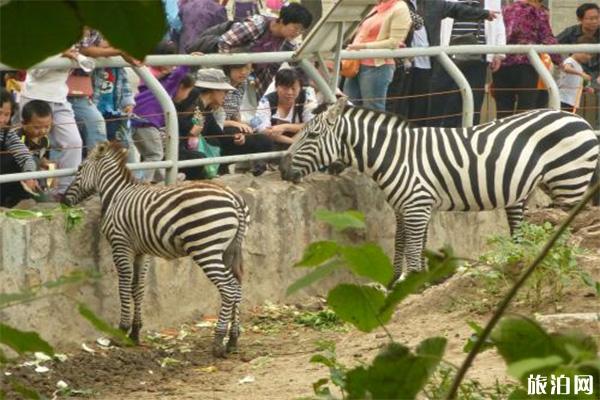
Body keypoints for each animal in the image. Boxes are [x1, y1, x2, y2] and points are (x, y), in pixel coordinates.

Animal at [65, 141, 251, 356]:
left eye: (79, 168)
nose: (63, 200)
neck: (116, 195)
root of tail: (234, 197)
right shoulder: (141, 252)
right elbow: (138, 288)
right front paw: (135, 333)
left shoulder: (121, 245)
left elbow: (123, 286)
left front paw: (121, 332)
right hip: (230, 250)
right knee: (237, 286)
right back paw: (233, 340)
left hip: (205, 248)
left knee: (228, 289)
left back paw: (218, 342)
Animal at [282, 98, 600, 286]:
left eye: (311, 135)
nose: (281, 168)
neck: (396, 155)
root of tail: (582, 120)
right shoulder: (407, 207)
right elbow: (403, 243)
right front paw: (398, 282)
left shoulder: (416, 205)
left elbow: (412, 247)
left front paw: (413, 283)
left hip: (570, 181)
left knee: (573, 228)